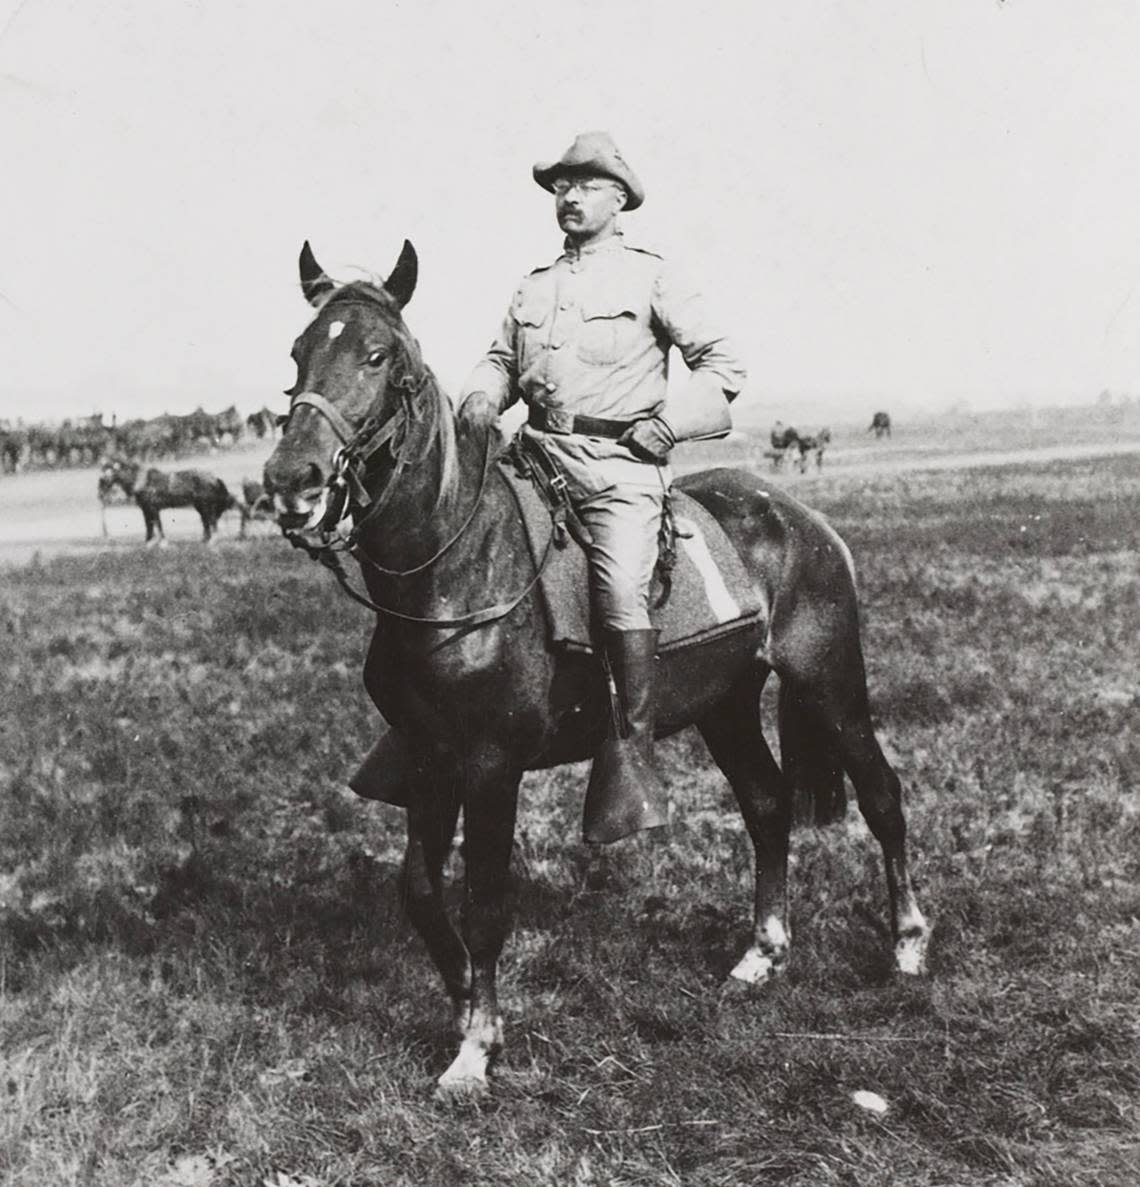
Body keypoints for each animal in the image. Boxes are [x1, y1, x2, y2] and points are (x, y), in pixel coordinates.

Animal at [98, 455, 242, 543]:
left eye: (110, 470)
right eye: (103, 469)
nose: (101, 486)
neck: (143, 482)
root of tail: (214, 478)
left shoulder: (152, 508)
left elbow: (156, 525)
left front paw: (162, 543)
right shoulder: (146, 509)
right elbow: (149, 526)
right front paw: (149, 544)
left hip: (205, 505)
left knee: (211, 521)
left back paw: (212, 541)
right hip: (200, 506)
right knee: (206, 522)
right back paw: (205, 541)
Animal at [262, 238, 931, 1092]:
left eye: (379, 356)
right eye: (299, 352)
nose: (291, 482)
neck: (459, 566)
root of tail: (801, 517)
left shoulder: (490, 763)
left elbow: (484, 900)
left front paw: (477, 1048)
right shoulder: (429, 758)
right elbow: (419, 891)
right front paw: (465, 1005)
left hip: (831, 684)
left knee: (881, 795)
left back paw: (907, 943)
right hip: (726, 705)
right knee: (767, 804)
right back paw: (762, 952)